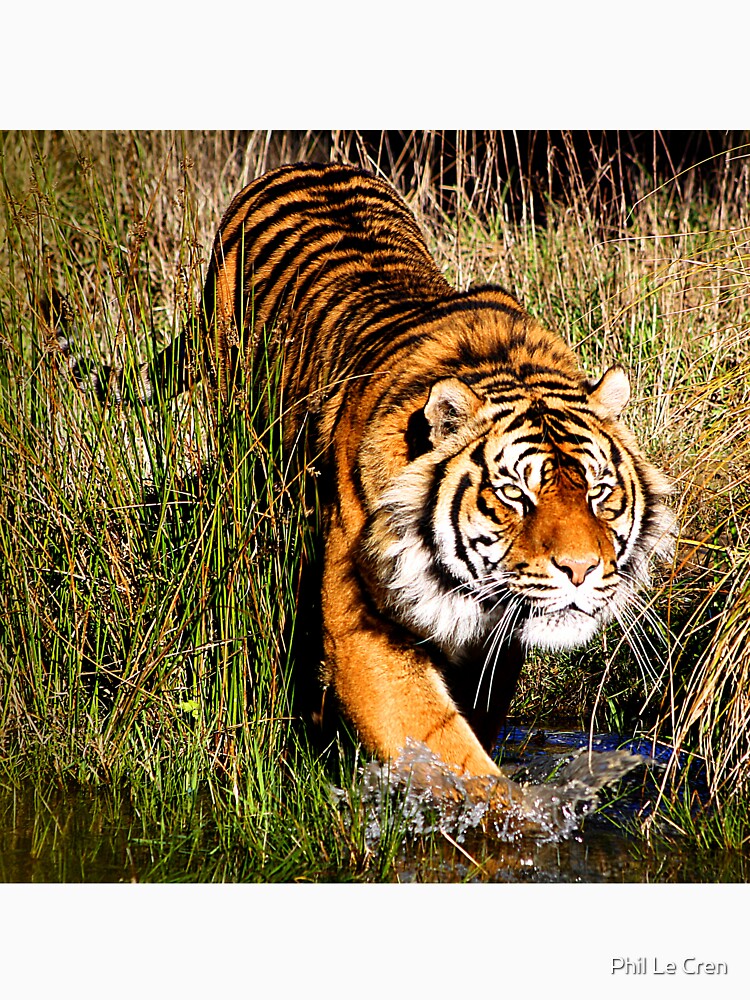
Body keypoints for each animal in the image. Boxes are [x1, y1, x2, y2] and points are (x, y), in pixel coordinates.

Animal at [54, 162, 674, 833]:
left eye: (598, 492)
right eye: (514, 495)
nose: (582, 571)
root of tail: (306, 164)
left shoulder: (496, 637)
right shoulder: (365, 628)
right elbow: (446, 749)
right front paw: (519, 823)